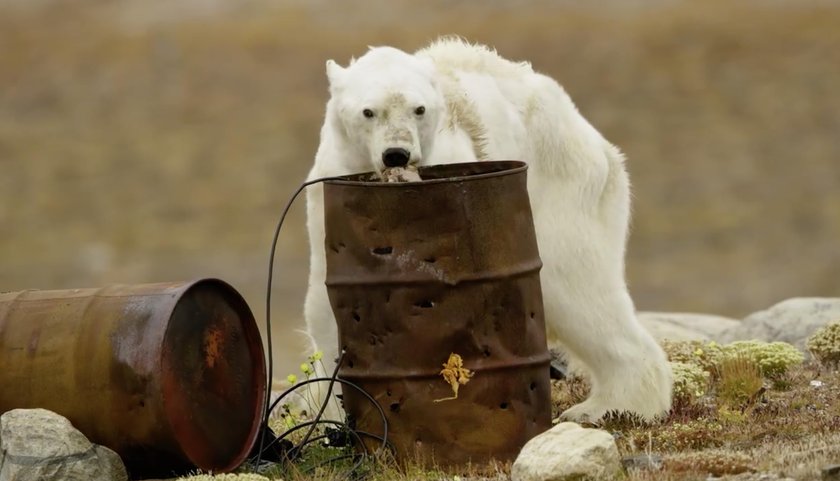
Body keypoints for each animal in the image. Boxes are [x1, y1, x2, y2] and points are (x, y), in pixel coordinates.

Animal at [306, 37, 672, 420]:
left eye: (419, 109)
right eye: (368, 111)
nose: (397, 154)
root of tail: (598, 143)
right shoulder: (329, 193)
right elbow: (327, 303)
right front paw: (331, 410)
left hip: (560, 190)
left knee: (576, 287)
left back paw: (604, 406)